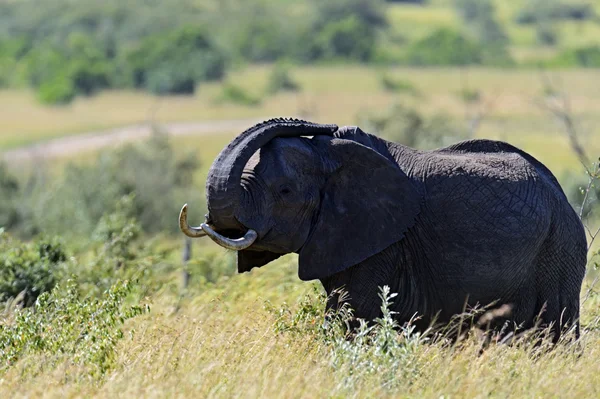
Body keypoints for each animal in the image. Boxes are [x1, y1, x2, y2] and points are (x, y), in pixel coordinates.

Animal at [180, 118, 588, 340]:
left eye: (284, 191)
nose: (324, 124)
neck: (334, 153)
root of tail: (564, 199)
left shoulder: (383, 241)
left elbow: (350, 313)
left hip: (559, 249)